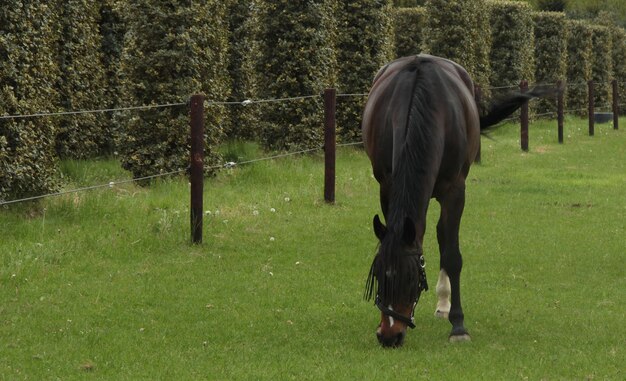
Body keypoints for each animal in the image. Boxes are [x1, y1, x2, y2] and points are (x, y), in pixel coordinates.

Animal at [360, 54, 544, 348]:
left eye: (410, 278)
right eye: (378, 276)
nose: (388, 336)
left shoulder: (456, 190)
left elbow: (452, 254)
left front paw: (458, 326)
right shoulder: (386, 187)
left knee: (443, 235)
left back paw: (445, 305)